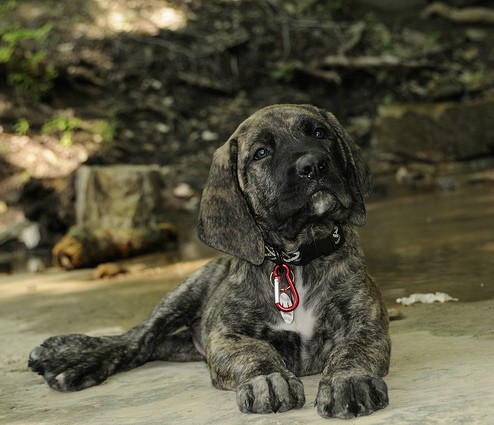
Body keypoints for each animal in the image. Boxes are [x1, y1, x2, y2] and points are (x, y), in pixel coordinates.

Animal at [29, 105, 392, 418]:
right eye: (261, 153)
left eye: (319, 132)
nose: (314, 165)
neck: (296, 258)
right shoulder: (226, 335)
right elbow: (256, 352)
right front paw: (267, 380)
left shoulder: (366, 326)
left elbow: (352, 350)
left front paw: (348, 380)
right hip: (183, 294)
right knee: (135, 340)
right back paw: (73, 362)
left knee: (153, 346)